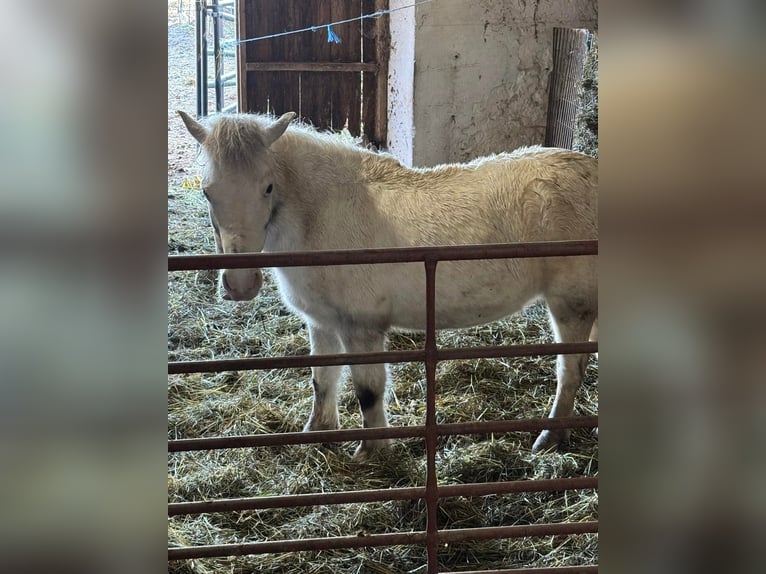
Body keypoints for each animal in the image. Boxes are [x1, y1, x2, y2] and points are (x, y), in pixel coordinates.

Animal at [180, 111, 600, 460]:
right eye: (207, 191)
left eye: (267, 188)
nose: (240, 284)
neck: (325, 215)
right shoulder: (321, 322)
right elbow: (322, 380)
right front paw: (317, 432)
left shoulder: (362, 328)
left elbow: (368, 391)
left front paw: (372, 450)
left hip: (571, 307)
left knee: (570, 371)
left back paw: (550, 438)